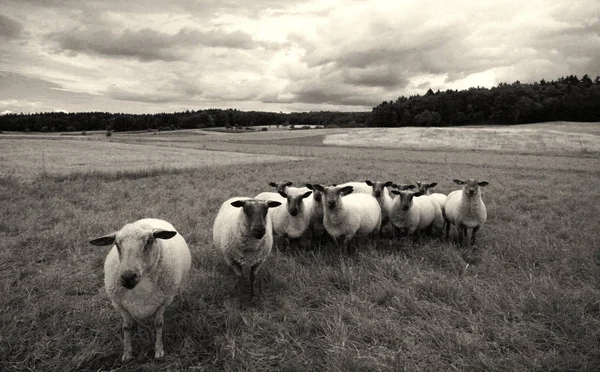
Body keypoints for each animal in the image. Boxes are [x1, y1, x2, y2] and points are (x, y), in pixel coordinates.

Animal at [88, 218, 190, 360]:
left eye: (150, 241)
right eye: (116, 244)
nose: (128, 276)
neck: (141, 288)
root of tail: (150, 218)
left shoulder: (163, 302)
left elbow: (158, 324)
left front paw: (159, 351)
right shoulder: (119, 305)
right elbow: (126, 327)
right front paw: (127, 353)